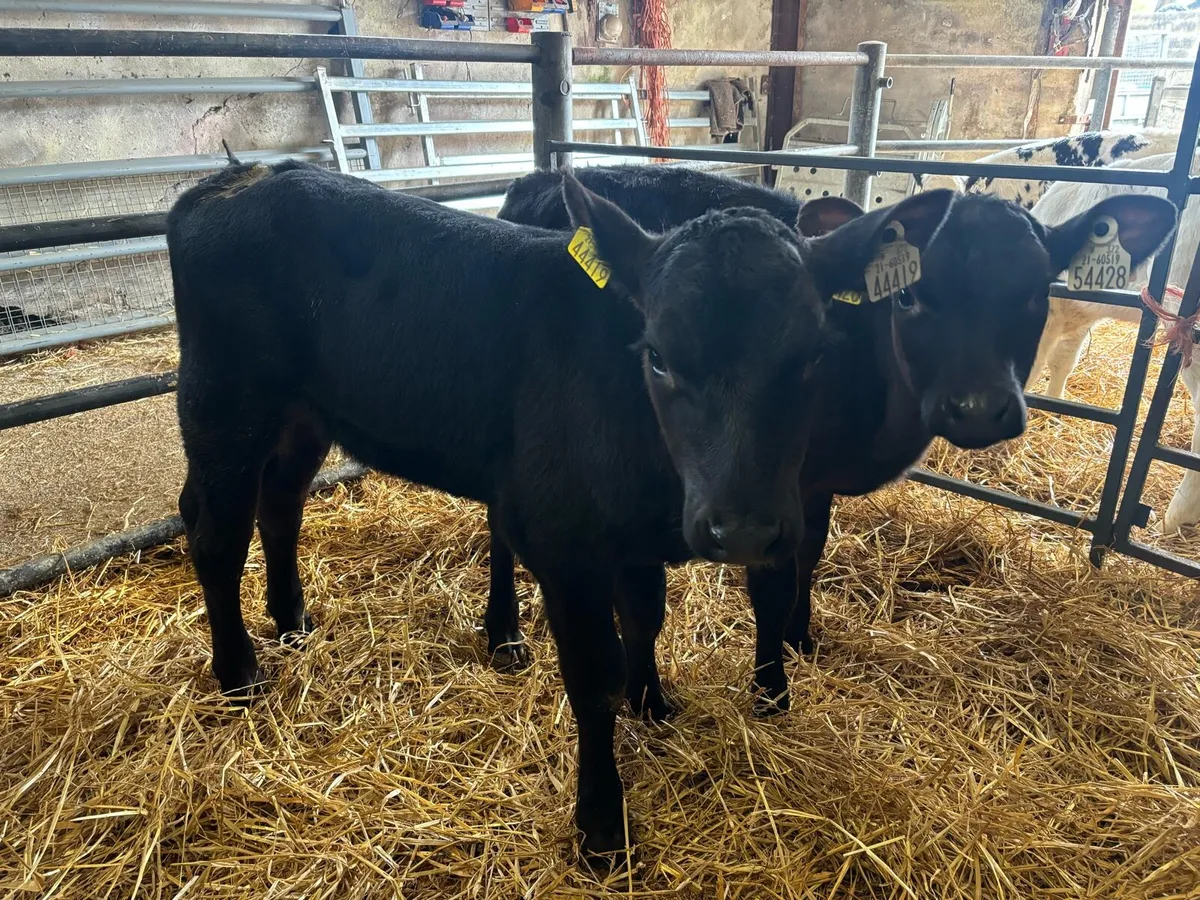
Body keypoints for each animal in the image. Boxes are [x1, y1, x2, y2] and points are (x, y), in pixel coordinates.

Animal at [166, 159, 955, 859]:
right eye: (658, 355)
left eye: (816, 354)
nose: (743, 529)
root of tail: (237, 180)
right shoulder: (567, 542)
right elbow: (592, 676)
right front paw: (602, 825)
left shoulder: (635, 535)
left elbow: (645, 617)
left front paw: (653, 705)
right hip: (223, 401)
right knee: (214, 530)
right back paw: (239, 673)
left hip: (302, 413)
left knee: (281, 502)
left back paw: (293, 621)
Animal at [490, 163, 1178, 714]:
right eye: (910, 295)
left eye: (1037, 292)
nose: (978, 410)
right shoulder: (769, 484)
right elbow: (770, 582)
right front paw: (771, 689)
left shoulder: (809, 484)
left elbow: (811, 555)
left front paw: (801, 638)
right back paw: (504, 633)